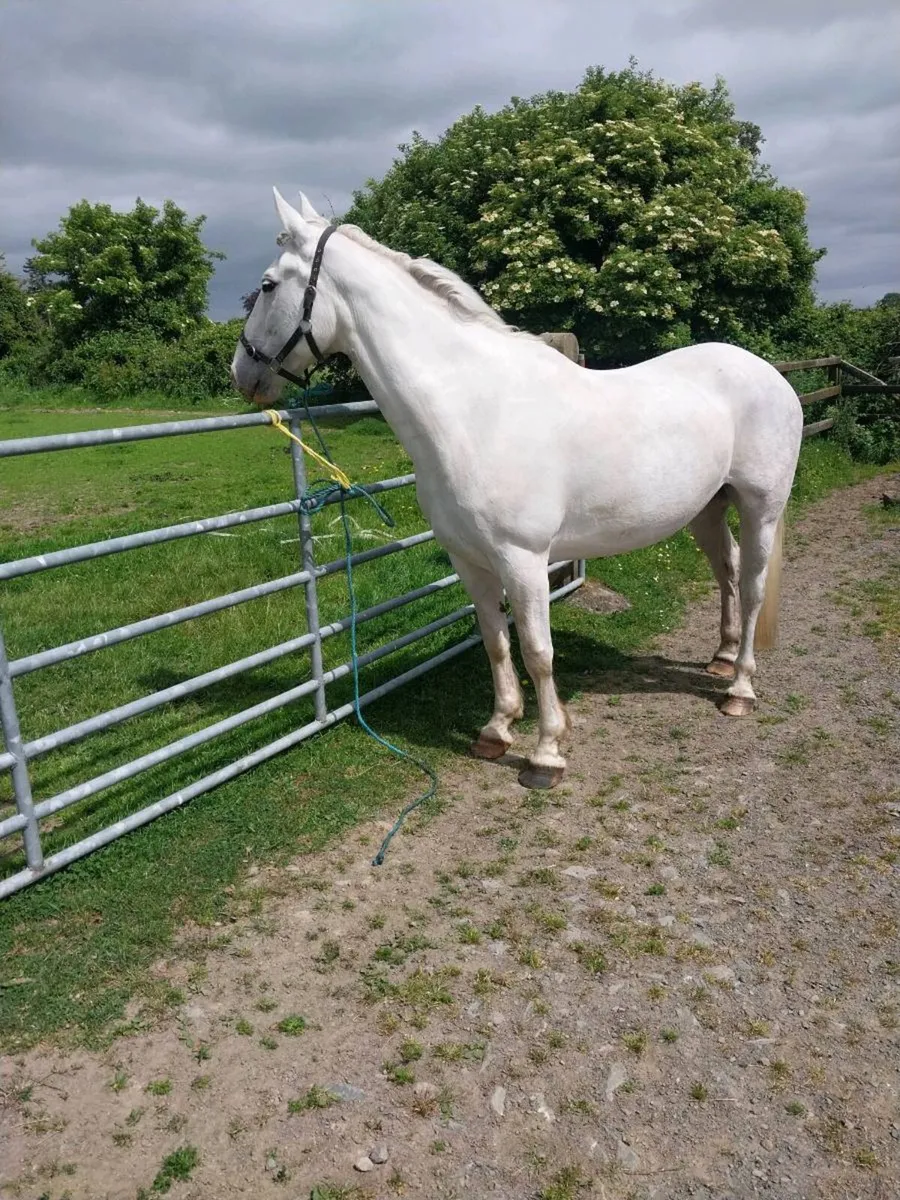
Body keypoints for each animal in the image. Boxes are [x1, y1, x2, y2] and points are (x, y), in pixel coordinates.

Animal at [231, 189, 803, 790]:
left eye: (267, 285)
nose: (242, 372)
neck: (474, 411)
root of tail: (769, 374)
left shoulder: (524, 559)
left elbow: (537, 651)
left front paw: (546, 753)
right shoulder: (469, 559)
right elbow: (494, 640)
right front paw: (497, 729)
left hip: (761, 508)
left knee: (753, 585)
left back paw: (739, 688)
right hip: (706, 510)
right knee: (728, 572)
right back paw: (721, 657)